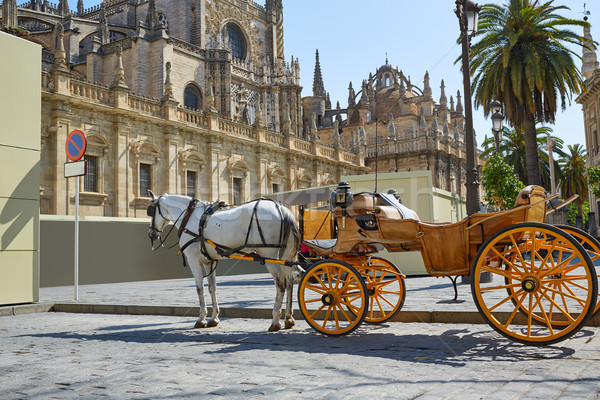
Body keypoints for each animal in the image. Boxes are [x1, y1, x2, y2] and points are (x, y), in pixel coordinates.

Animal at [146, 191, 300, 332]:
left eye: (151, 211)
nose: (151, 234)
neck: (189, 217)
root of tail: (280, 208)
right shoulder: (210, 261)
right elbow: (212, 288)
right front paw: (214, 318)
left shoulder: (194, 260)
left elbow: (199, 289)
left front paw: (201, 318)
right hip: (283, 255)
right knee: (290, 281)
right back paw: (288, 318)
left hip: (268, 253)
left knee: (280, 284)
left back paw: (275, 320)